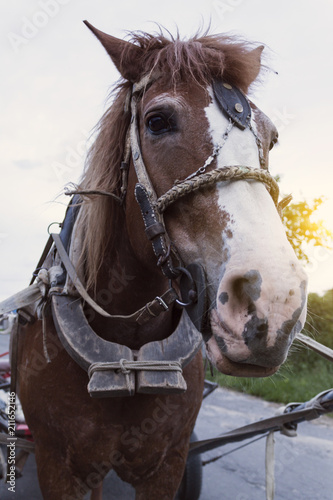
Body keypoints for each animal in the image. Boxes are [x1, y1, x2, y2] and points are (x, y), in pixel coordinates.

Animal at [14, 21, 306, 498]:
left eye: (271, 136)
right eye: (157, 121)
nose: (274, 301)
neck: (129, 337)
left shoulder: (167, 465)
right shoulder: (59, 466)